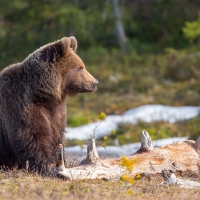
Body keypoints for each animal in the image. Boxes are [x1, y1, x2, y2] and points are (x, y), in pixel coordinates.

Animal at [0, 36, 98, 173]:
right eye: (80, 67)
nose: (95, 82)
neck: (42, 94)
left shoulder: (56, 111)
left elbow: (56, 136)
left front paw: (60, 161)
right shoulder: (21, 106)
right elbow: (33, 136)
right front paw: (45, 164)